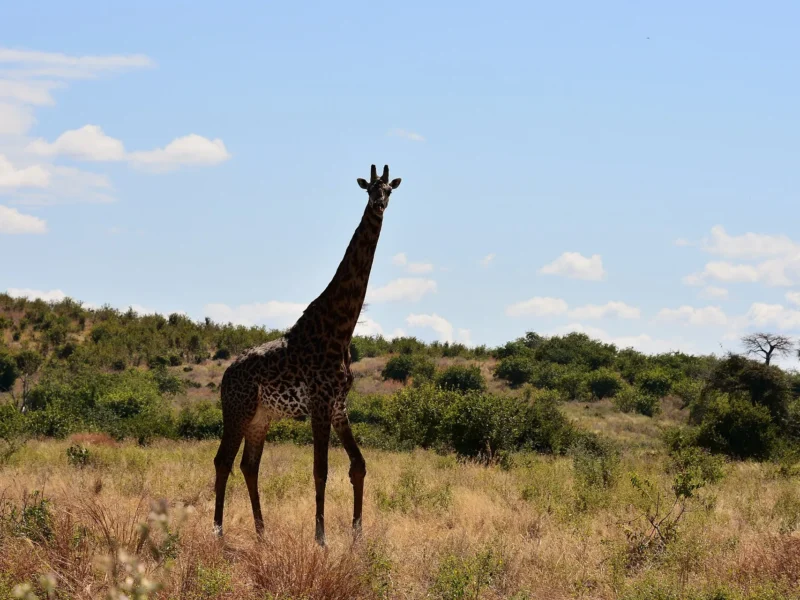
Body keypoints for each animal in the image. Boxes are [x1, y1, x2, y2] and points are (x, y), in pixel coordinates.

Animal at [213, 164, 402, 546]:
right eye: (369, 189)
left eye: (390, 189)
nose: (379, 205)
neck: (341, 329)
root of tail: (225, 375)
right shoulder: (319, 403)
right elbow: (320, 470)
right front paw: (321, 538)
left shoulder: (339, 405)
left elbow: (358, 465)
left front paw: (358, 536)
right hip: (238, 411)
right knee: (223, 461)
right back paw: (219, 533)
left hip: (261, 417)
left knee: (248, 465)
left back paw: (262, 534)